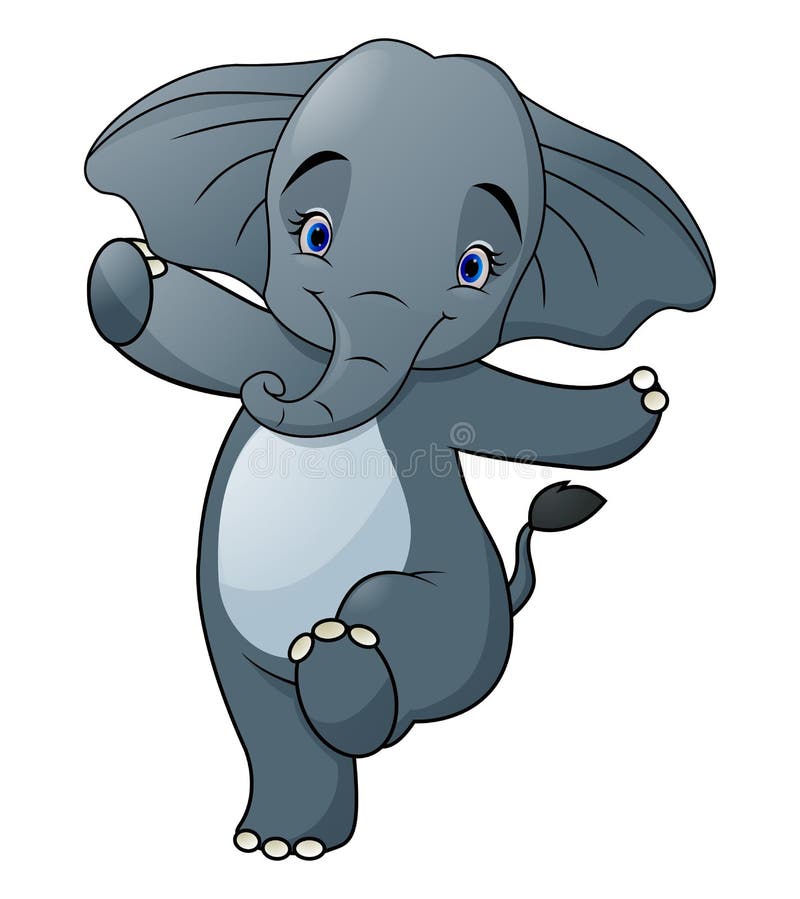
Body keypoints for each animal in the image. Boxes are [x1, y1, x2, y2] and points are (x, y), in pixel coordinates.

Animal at [85, 39, 714, 861]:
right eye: (314, 234)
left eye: (475, 268)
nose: (270, 393)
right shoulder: (282, 342)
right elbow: (209, 339)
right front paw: (127, 269)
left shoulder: (444, 395)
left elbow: (523, 414)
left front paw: (644, 392)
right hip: (232, 635)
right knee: (270, 724)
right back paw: (284, 840)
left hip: (469, 616)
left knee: (399, 622)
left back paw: (340, 657)